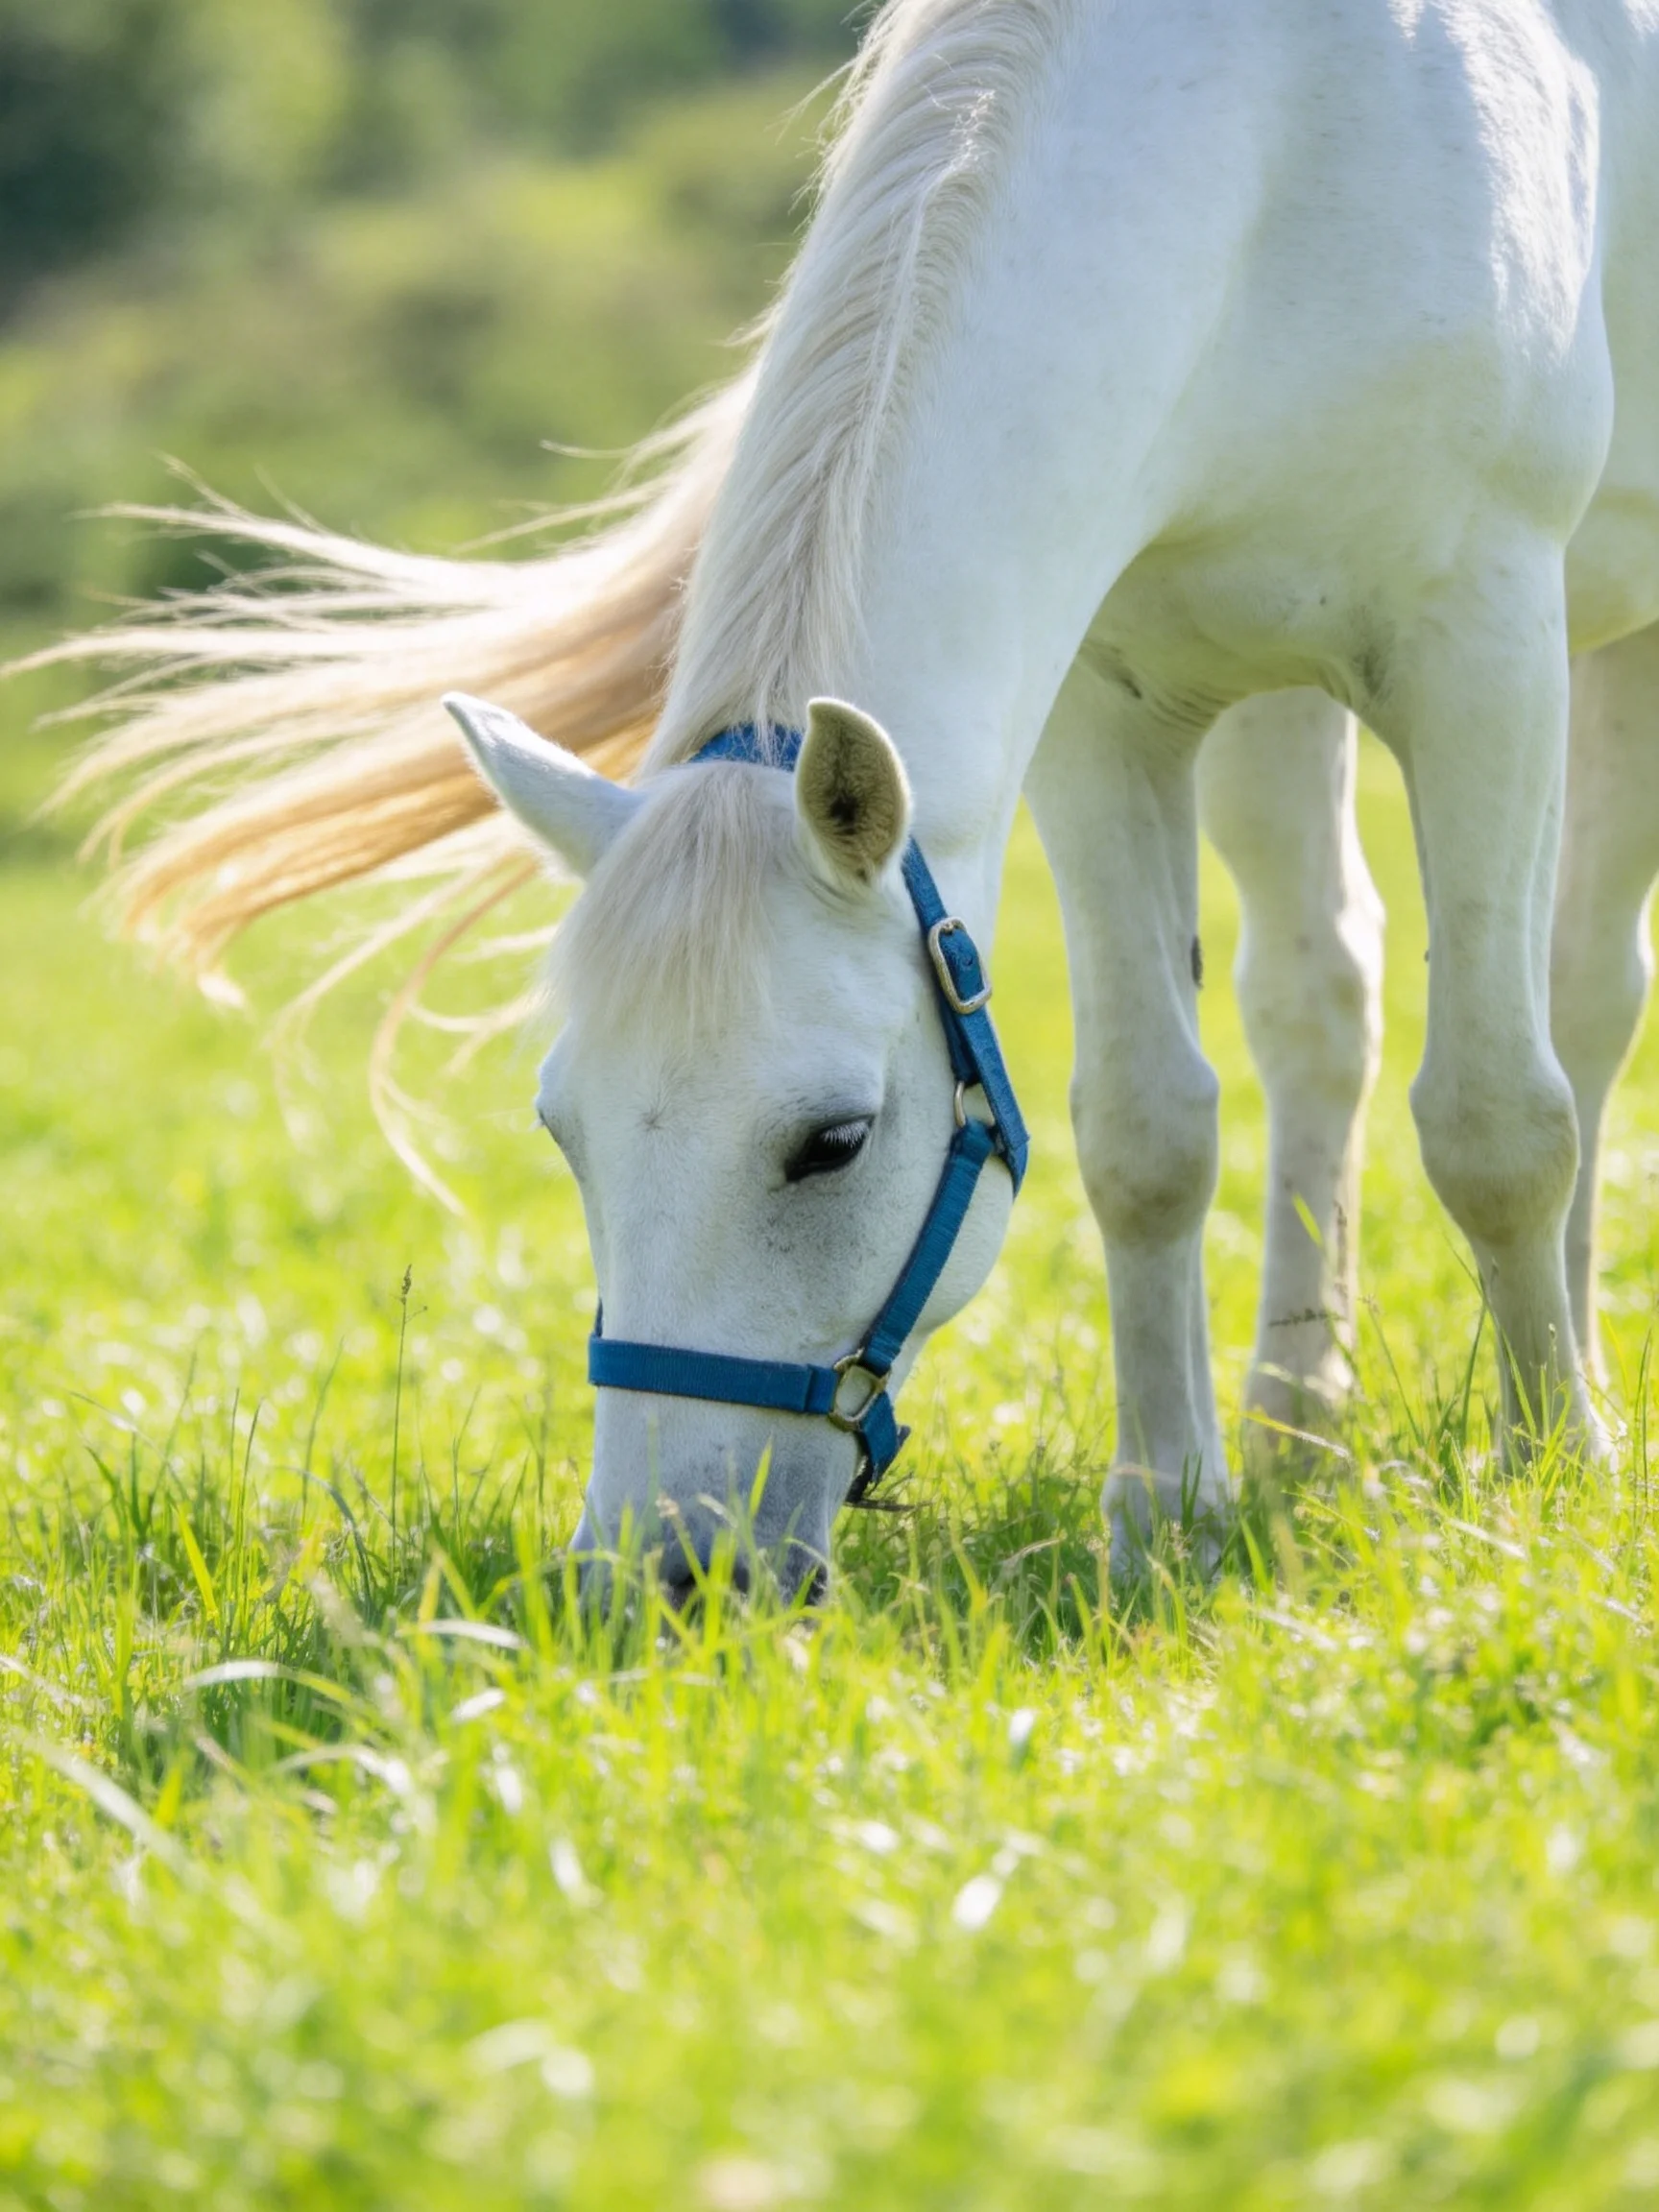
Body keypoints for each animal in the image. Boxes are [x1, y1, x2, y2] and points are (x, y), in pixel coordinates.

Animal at [24, 0, 1659, 1595]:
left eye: (834, 1142)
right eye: (565, 1129)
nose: (659, 1577)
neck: (1280, 139)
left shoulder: (1482, 649)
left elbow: (1499, 1119)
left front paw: (1543, 1476)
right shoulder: (1104, 710)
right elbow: (1149, 1132)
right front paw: (1164, 1516)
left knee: (1582, 1004)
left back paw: (1570, 1388)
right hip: (1270, 693)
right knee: (1322, 995)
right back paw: (1294, 1427)